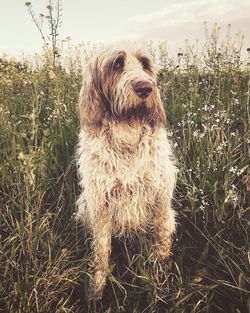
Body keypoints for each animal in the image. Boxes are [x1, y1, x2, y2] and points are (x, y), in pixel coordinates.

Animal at [75, 44, 177, 298]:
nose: (145, 88)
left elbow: (160, 239)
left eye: (145, 63)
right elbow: (101, 249)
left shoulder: (160, 195)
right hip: (83, 206)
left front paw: (161, 278)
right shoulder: (100, 202)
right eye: (117, 64)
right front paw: (96, 288)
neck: (127, 133)